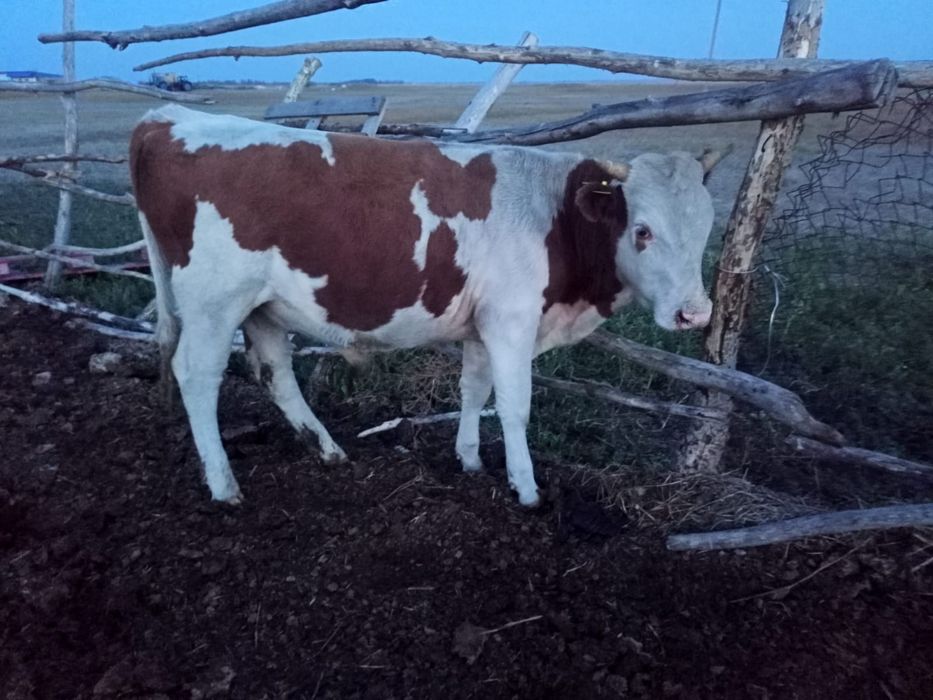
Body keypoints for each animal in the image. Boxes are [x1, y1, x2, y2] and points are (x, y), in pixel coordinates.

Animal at [130, 104, 724, 508]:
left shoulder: (484, 324)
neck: (554, 215)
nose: (694, 313)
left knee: (275, 371)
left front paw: (470, 459)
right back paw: (223, 484)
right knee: (196, 374)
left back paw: (327, 449)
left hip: (263, 305)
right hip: (213, 302)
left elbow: (474, 390)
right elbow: (515, 405)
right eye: (642, 230)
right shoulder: (512, 320)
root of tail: (166, 118)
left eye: (706, 227)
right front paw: (526, 487)